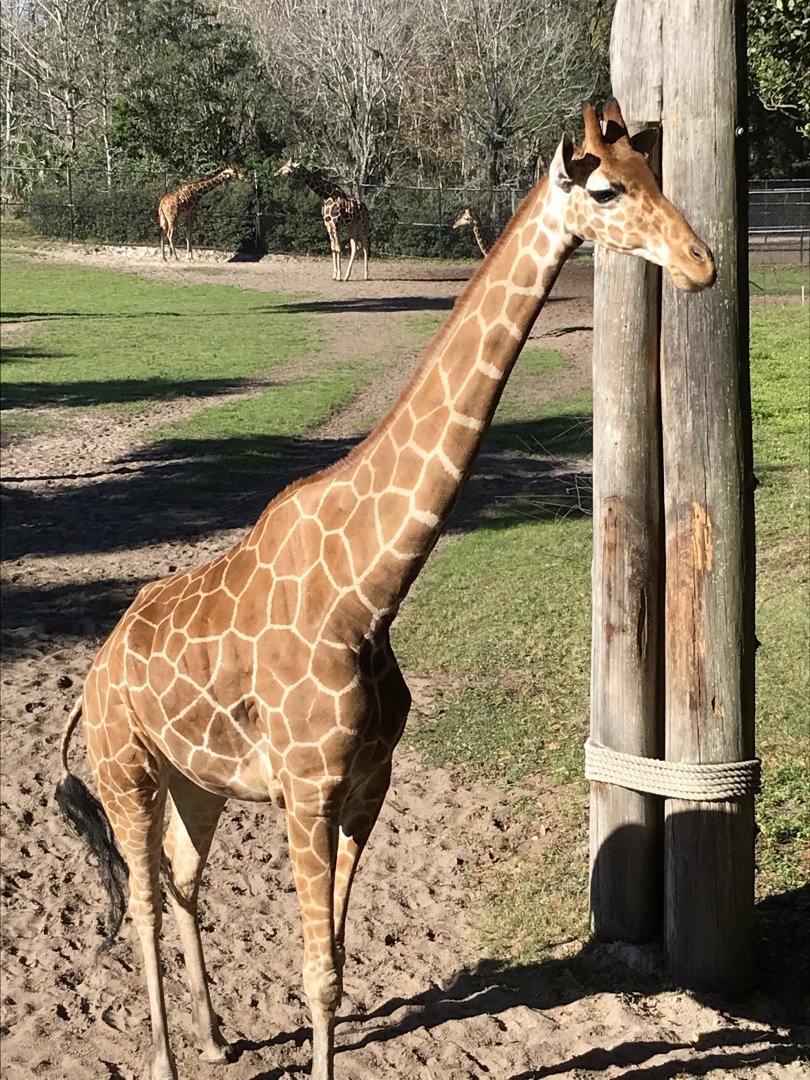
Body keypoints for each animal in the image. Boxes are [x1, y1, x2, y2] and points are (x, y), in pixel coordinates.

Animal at [56, 101, 715, 1080]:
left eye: (655, 174)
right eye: (604, 188)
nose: (702, 264)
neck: (368, 592)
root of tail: (93, 676)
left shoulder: (368, 784)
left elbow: (338, 957)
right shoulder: (307, 789)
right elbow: (316, 973)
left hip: (193, 778)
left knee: (183, 876)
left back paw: (214, 1038)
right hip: (123, 769)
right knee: (138, 896)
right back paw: (171, 1058)